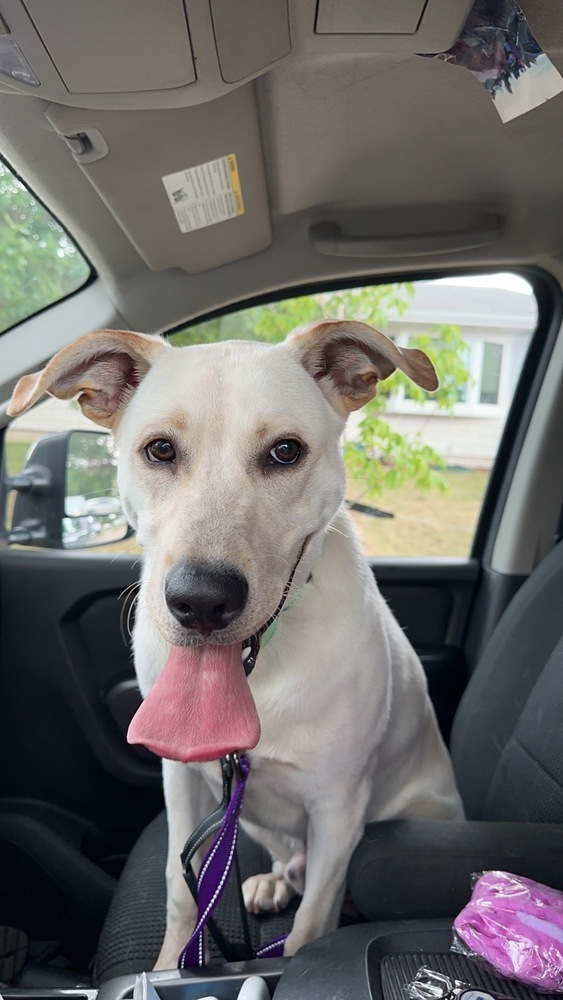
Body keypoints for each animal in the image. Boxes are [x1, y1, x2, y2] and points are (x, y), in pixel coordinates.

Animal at [9, 320, 462, 968]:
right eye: (160, 450)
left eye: (285, 452)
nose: (200, 601)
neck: (260, 676)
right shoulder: (181, 784)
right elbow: (181, 890)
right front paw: (170, 964)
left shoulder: (339, 808)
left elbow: (313, 923)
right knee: (288, 861)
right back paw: (273, 880)